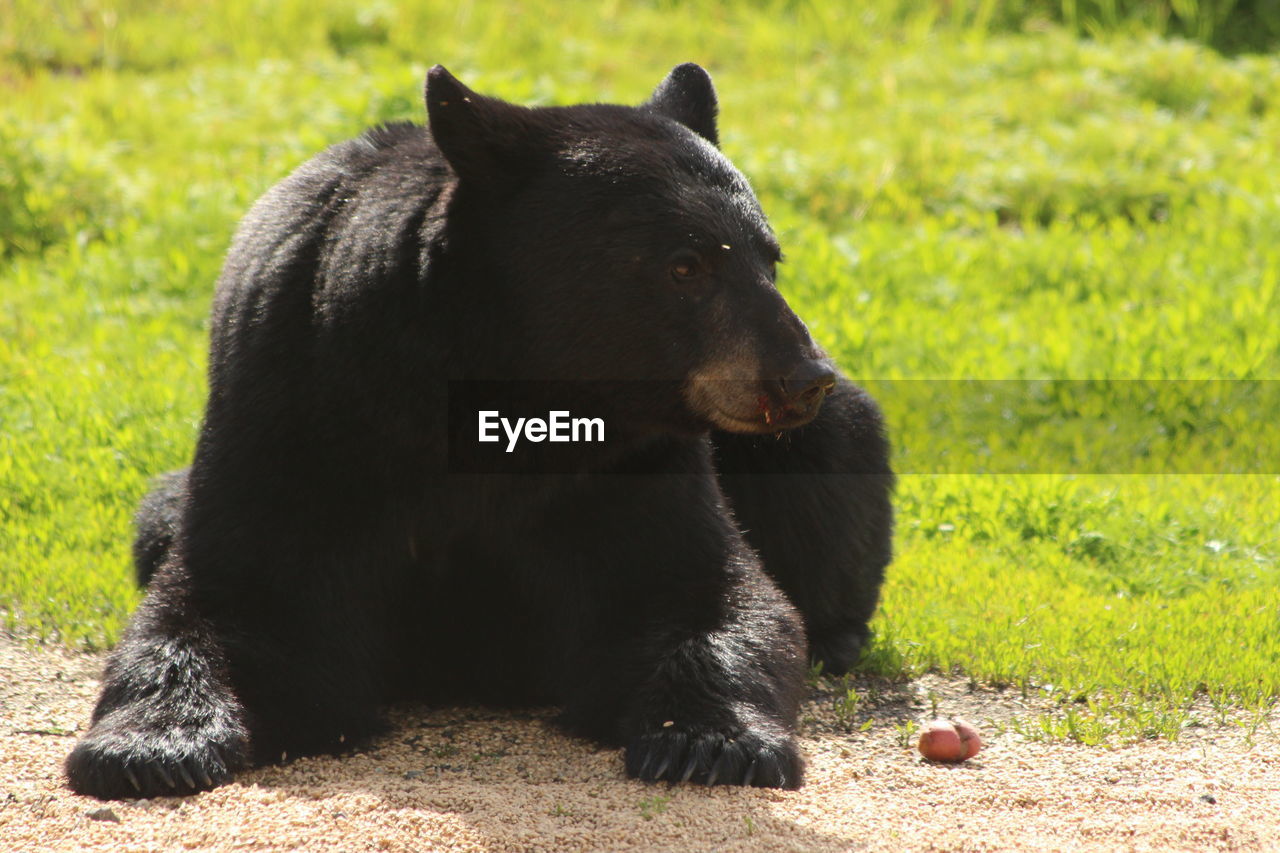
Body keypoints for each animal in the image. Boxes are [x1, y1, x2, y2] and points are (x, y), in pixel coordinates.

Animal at [67, 64, 890, 799]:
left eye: (768, 258)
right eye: (684, 266)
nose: (801, 375)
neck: (502, 393)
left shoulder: (634, 463)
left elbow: (708, 591)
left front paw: (708, 741)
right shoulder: (297, 412)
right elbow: (239, 596)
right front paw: (148, 748)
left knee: (838, 452)